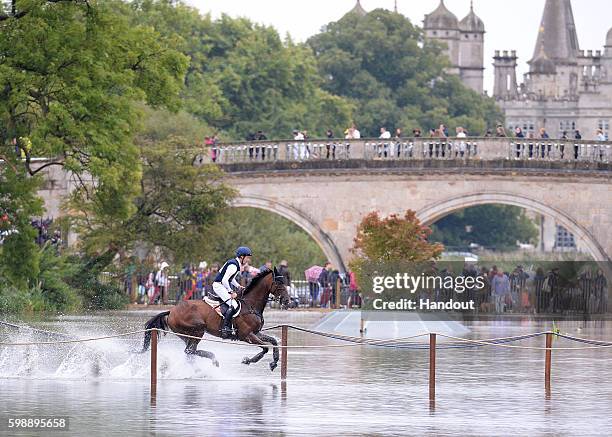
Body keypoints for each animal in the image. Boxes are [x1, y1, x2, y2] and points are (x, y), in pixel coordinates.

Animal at [140, 266, 290, 372]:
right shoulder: (246, 335)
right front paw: (247, 360)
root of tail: (171, 311)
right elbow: (265, 348)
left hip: (187, 335)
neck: (251, 305)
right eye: (278, 283)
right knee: (190, 351)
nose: (288, 301)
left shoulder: (256, 333)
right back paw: (210, 363)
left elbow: (273, 342)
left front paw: (274, 362)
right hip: (197, 330)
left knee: (190, 352)